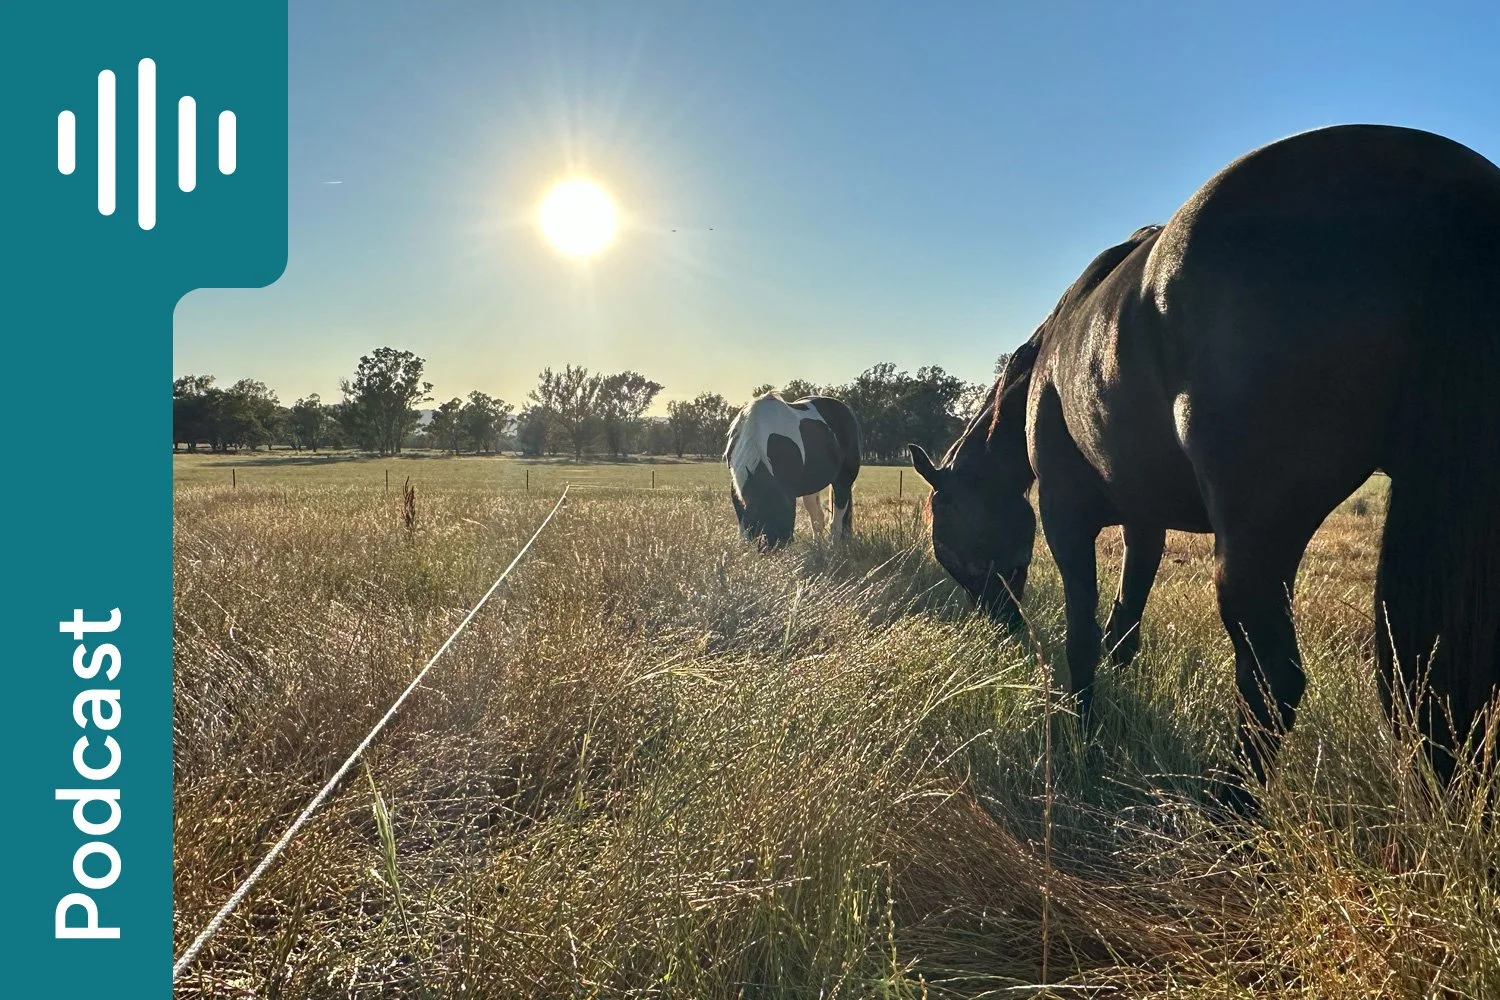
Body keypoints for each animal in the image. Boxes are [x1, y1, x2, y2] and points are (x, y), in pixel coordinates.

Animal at [725, 393, 862, 549]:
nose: (770, 549)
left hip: (843, 480)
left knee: (837, 520)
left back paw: (833, 547)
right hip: (811, 486)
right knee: (818, 519)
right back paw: (817, 546)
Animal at [909, 124, 1500, 804]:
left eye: (947, 542)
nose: (999, 623)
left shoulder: (1065, 516)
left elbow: (1083, 638)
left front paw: (1082, 734)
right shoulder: (1145, 523)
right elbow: (1123, 627)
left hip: (1254, 542)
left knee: (1274, 680)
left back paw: (1225, 807)